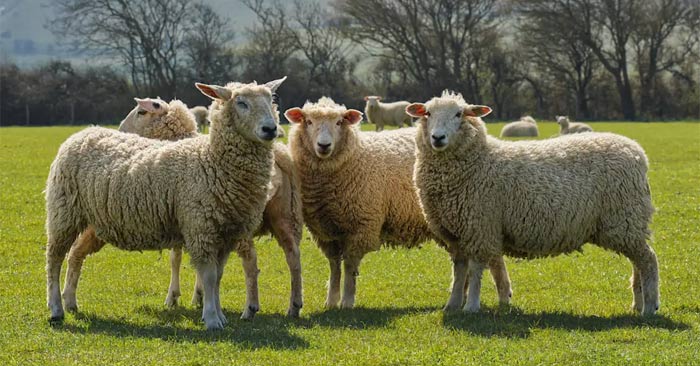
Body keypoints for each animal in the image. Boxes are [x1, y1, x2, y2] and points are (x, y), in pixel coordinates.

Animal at [45, 77, 286, 328]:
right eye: (241, 103)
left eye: (271, 100)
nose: (271, 129)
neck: (211, 161)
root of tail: (84, 132)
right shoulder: (200, 228)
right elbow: (208, 276)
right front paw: (210, 318)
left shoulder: (226, 234)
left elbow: (217, 277)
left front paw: (218, 316)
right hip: (63, 211)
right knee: (54, 258)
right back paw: (56, 308)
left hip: (90, 219)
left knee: (73, 255)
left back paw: (70, 302)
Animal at [284, 96, 508, 308]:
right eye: (309, 122)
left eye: (339, 122)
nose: (324, 145)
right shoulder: (325, 232)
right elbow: (334, 267)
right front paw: (331, 300)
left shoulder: (361, 226)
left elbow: (349, 267)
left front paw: (347, 301)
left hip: (480, 216)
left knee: (493, 258)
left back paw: (502, 295)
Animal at [408, 91, 660, 314]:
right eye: (428, 113)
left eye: (459, 114)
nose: (437, 138)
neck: (478, 161)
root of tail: (637, 152)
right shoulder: (455, 234)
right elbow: (460, 272)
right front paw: (452, 305)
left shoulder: (480, 228)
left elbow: (476, 270)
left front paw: (471, 307)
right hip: (626, 225)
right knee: (637, 262)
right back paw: (637, 304)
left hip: (624, 219)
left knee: (648, 260)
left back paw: (650, 306)